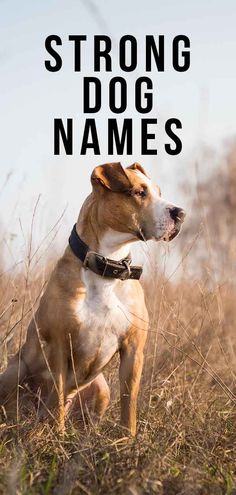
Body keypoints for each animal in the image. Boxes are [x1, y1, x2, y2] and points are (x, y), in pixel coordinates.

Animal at [0, 162, 185, 434]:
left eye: (159, 193)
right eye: (139, 192)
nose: (180, 213)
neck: (107, 265)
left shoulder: (133, 350)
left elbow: (129, 403)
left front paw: (127, 439)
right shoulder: (59, 345)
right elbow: (57, 400)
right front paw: (57, 437)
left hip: (101, 387)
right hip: (15, 371)